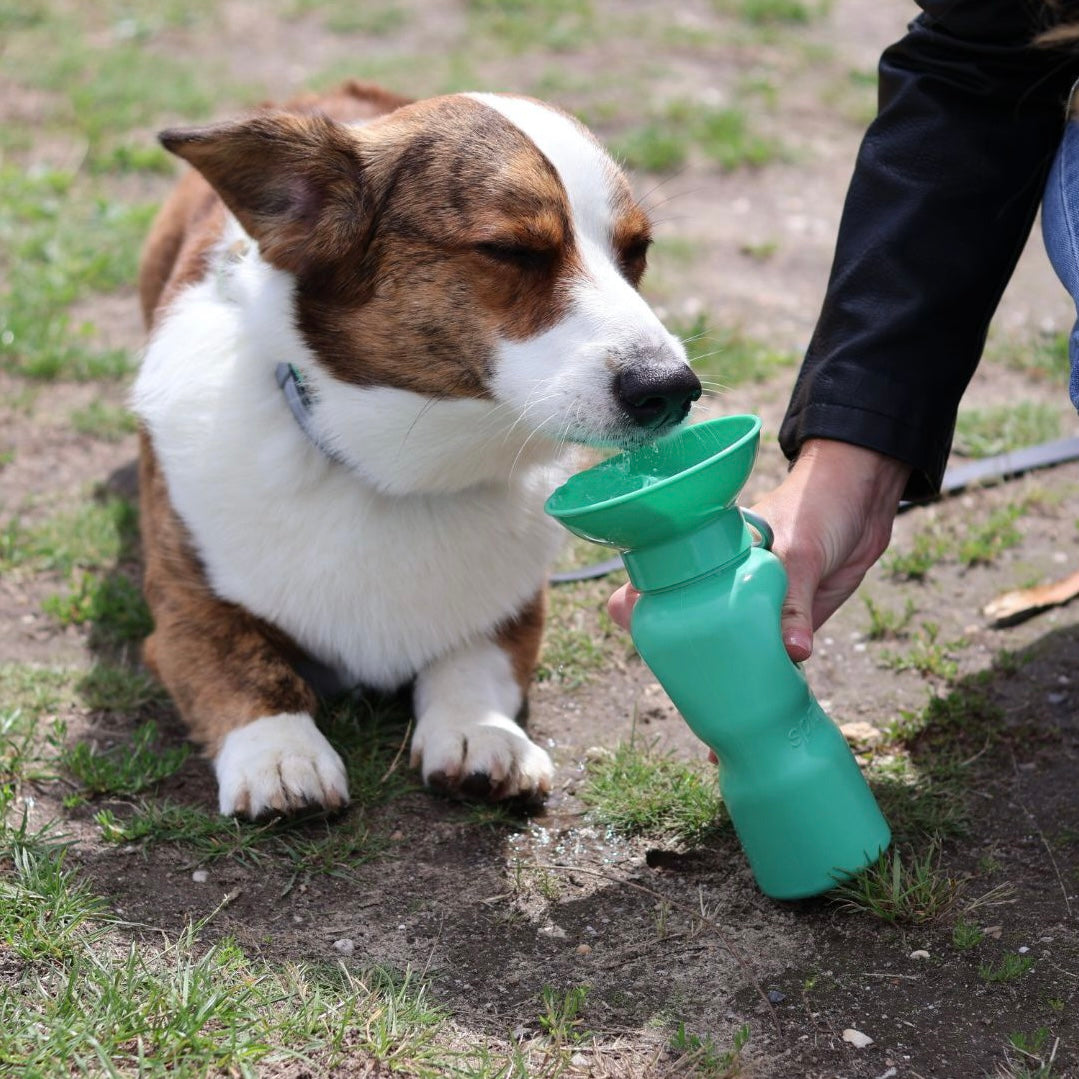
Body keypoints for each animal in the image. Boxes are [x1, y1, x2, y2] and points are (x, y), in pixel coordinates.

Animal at [132, 82, 699, 815]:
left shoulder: (516, 609)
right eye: (511, 251)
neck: (405, 471)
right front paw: (279, 756)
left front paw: (479, 731)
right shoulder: (184, 614)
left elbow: (473, 661)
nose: (673, 389)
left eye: (637, 252)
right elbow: (247, 670)